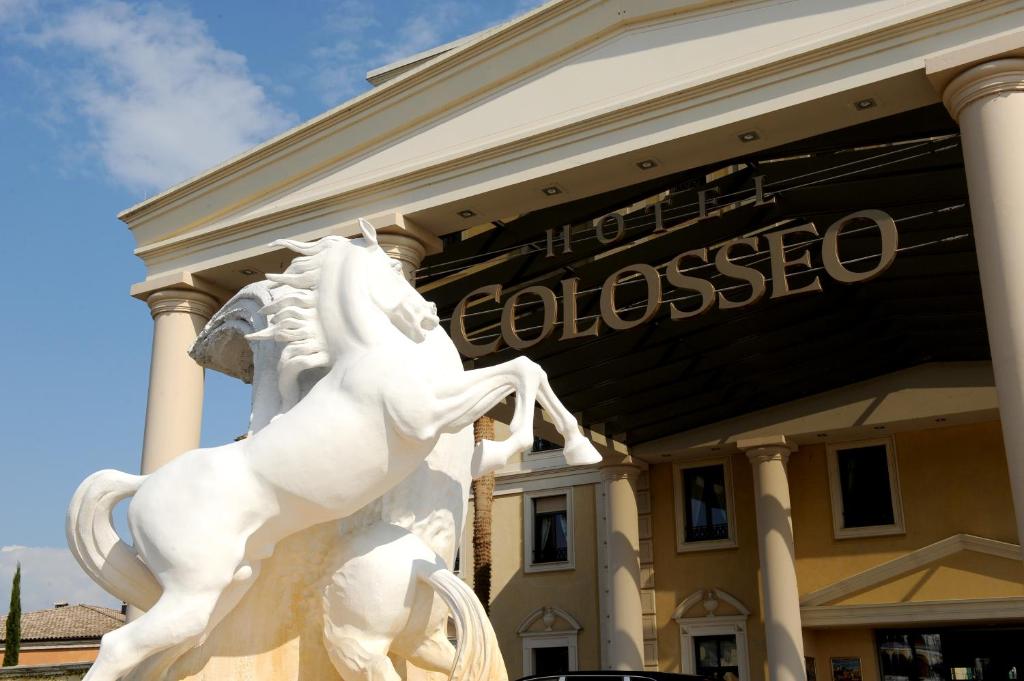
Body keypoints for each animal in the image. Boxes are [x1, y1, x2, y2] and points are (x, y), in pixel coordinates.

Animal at [66, 220, 598, 675]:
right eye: (392, 271)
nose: (428, 316)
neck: (370, 351)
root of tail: (144, 483)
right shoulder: (425, 415)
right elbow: (520, 370)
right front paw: (548, 439)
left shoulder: (454, 442)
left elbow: (524, 376)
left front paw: (578, 447)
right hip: (195, 592)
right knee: (119, 646)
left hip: (225, 587)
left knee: (163, 653)